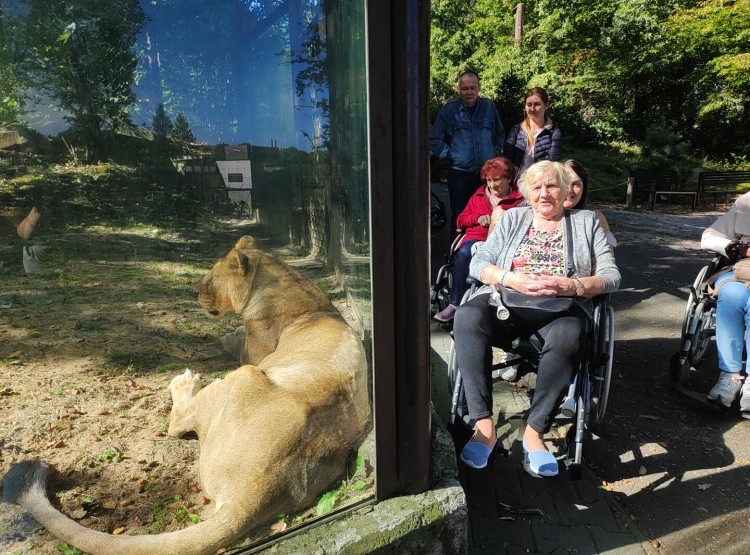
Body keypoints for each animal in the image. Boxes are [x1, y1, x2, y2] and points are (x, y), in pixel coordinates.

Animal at [1, 237, 372, 555]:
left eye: (210, 279)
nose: (195, 293)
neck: (288, 283)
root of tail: (250, 494)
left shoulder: (250, 353)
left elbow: (231, 338)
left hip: (244, 376)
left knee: (177, 421)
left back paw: (184, 382)